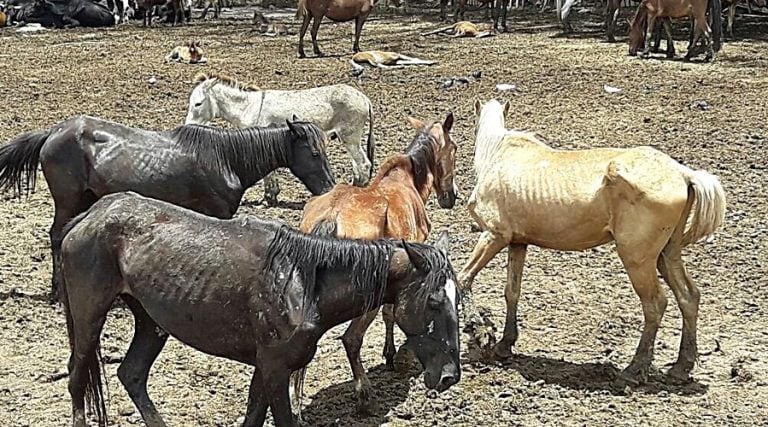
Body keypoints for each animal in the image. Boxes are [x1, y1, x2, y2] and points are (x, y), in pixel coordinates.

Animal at [0, 115, 336, 302]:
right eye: (314, 153)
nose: (328, 187)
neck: (225, 158)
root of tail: (53, 133)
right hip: (68, 200)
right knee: (57, 236)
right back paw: (58, 291)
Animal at [60, 191, 460, 427]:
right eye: (433, 301)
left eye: (459, 300)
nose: (449, 377)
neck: (301, 281)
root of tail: (91, 214)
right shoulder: (275, 370)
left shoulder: (264, 368)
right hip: (88, 318)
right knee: (78, 378)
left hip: (151, 322)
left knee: (132, 374)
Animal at [298, 113, 456, 414]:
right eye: (454, 149)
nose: (451, 197)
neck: (406, 180)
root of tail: (331, 217)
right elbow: (390, 314)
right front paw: (390, 355)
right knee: (352, 339)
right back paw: (364, 395)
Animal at [456, 99, 728, 384]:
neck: (499, 156)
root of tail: (684, 174)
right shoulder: (518, 243)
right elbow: (512, 292)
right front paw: (504, 345)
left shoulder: (494, 235)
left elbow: (464, 277)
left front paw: (479, 332)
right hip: (667, 254)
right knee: (688, 297)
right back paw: (681, 367)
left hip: (637, 259)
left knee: (655, 304)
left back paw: (633, 370)